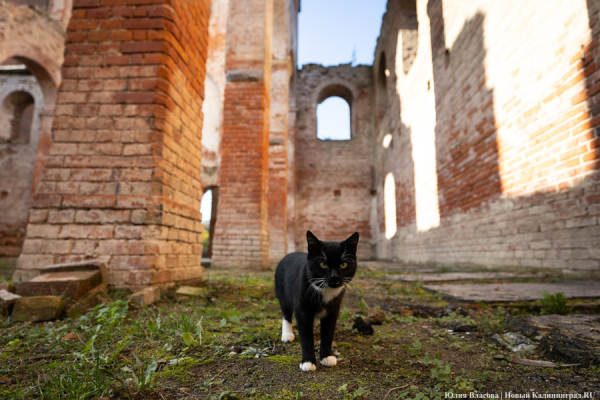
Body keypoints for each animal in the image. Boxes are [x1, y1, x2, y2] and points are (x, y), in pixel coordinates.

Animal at [274, 230, 358, 374]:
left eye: (343, 264)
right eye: (323, 264)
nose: (334, 277)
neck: (326, 290)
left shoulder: (333, 310)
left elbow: (328, 333)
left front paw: (326, 356)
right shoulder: (302, 310)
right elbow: (306, 336)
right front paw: (308, 362)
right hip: (282, 293)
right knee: (286, 313)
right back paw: (287, 334)